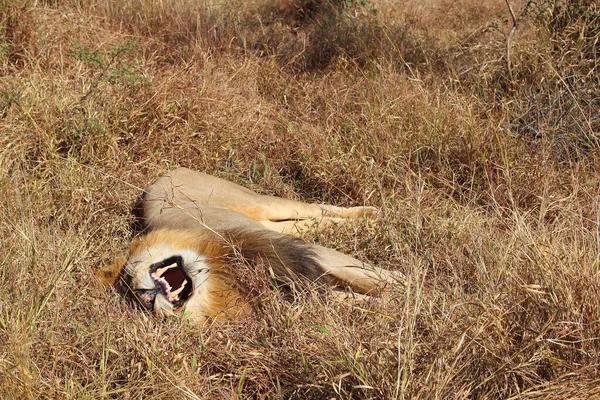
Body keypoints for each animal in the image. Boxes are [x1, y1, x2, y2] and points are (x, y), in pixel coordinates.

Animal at [97, 167, 398, 324]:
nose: (145, 297)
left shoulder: (299, 257)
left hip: (255, 201)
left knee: (316, 207)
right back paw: (371, 223)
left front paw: (407, 292)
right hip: (273, 226)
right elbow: (354, 300)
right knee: (313, 222)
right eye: (145, 308)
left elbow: (379, 279)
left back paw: (372, 215)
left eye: (130, 273)